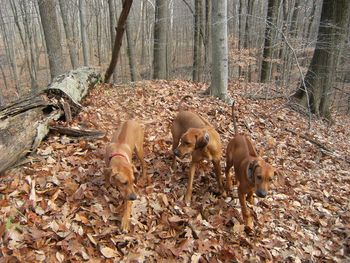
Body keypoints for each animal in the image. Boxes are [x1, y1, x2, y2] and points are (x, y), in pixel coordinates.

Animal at [226, 102, 274, 230]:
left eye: (270, 180)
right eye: (259, 177)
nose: (262, 195)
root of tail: (238, 135)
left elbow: (251, 194)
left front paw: (251, 198)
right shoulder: (240, 192)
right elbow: (245, 209)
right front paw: (248, 222)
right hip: (229, 160)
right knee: (227, 171)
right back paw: (228, 184)